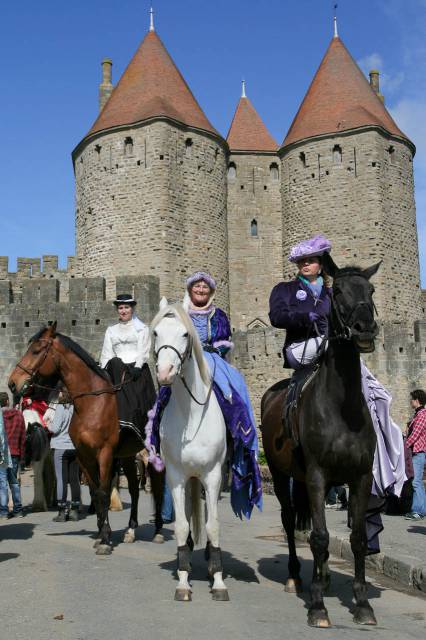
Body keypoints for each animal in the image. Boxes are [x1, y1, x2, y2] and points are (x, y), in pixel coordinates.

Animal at [8, 324, 165, 556]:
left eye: (36, 351)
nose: (12, 383)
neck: (93, 403)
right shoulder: (84, 456)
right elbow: (95, 492)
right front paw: (101, 534)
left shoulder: (105, 454)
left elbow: (103, 492)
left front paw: (105, 540)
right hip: (128, 455)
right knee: (135, 489)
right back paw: (130, 530)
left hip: (154, 454)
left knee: (158, 486)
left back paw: (159, 531)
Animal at [152, 298, 230, 600]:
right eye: (155, 332)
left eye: (185, 334)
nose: (164, 373)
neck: (191, 415)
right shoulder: (174, 476)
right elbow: (182, 525)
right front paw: (183, 579)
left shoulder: (213, 475)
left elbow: (214, 525)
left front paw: (218, 580)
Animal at [262, 254, 382, 624]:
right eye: (337, 290)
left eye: (371, 290)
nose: (364, 329)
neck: (343, 408)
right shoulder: (317, 475)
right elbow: (318, 536)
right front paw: (317, 606)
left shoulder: (360, 477)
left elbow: (358, 538)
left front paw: (362, 603)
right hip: (282, 473)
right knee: (290, 521)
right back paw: (296, 577)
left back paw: (324, 577)